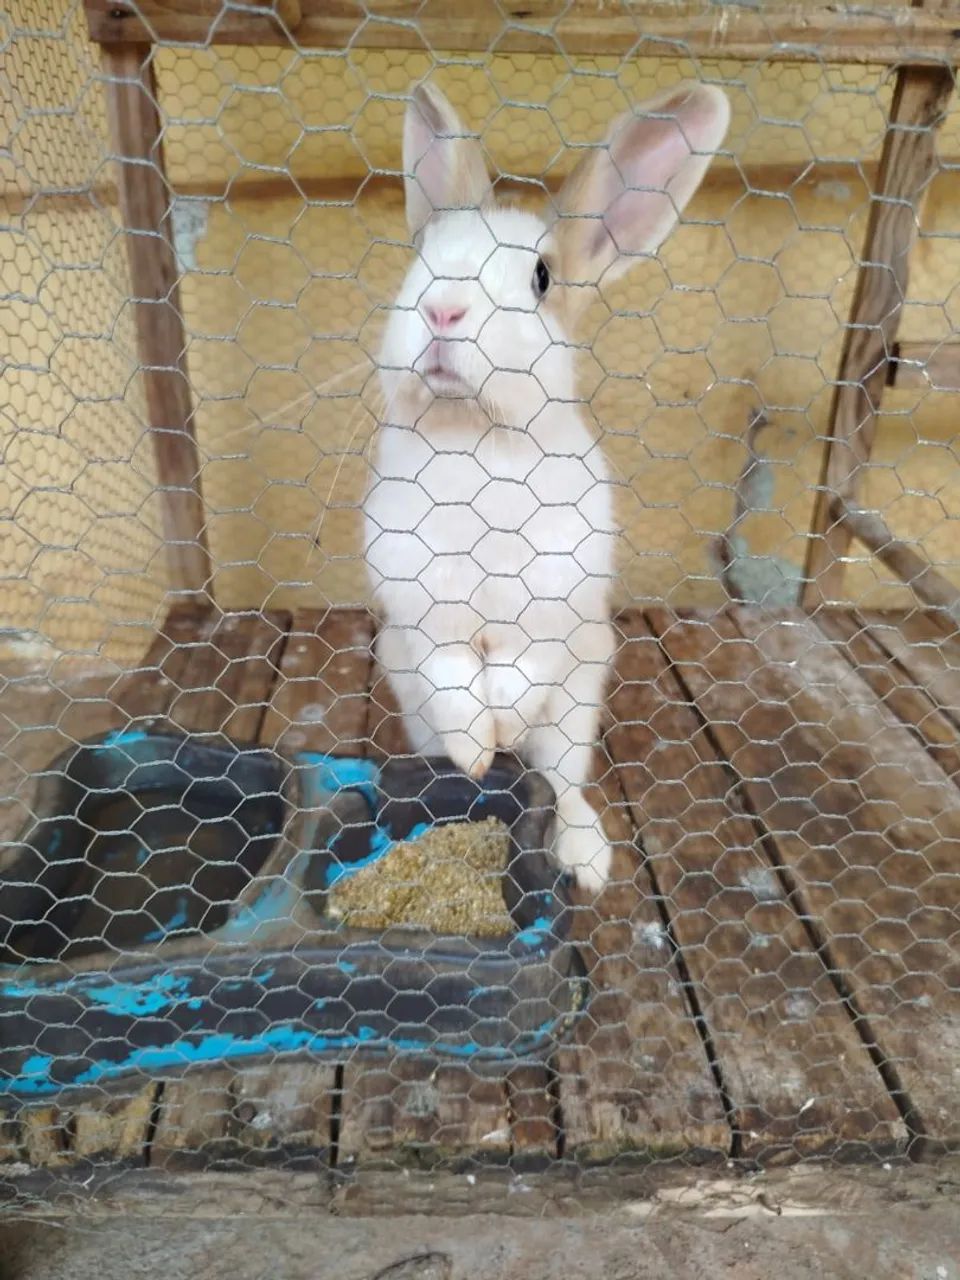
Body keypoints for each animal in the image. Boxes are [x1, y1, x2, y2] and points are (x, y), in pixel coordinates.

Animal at [364, 80, 730, 891]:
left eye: (540, 277)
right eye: (421, 255)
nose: (443, 309)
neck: (476, 438)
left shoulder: (555, 606)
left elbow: (517, 672)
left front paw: (501, 721)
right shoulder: (418, 608)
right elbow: (454, 674)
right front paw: (478, 746)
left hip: (578, 705)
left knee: (563, 783)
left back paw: (587, 859)